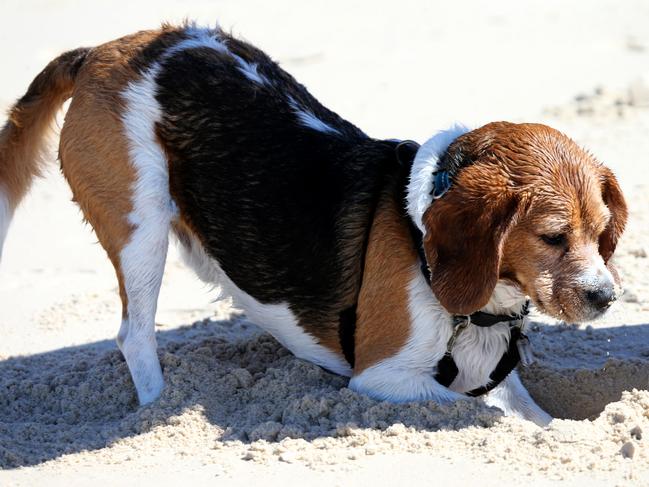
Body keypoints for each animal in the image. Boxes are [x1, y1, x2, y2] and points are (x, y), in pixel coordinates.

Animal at [1, 24, 628, 426]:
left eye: (602, 235)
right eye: (552, 237)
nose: (606, 298)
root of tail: (100, 52)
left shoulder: (497, 377)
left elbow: (538, 419)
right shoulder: (382, 379)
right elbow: (484, 415)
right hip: (141, 225)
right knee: (134, 336)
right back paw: (158, 409)